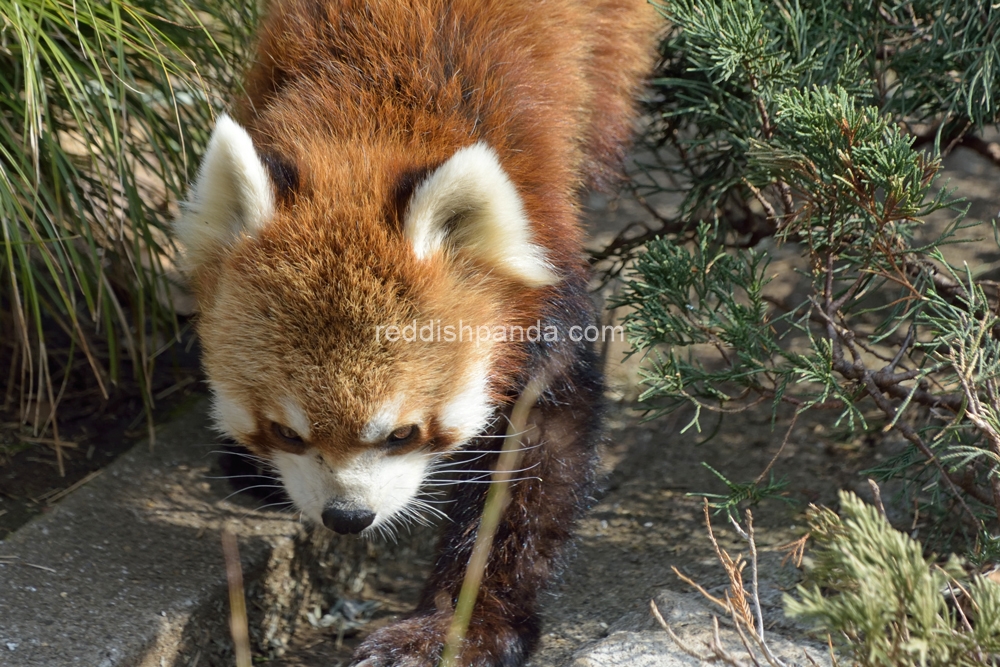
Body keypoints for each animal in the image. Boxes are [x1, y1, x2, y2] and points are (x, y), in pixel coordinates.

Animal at [176, 2, 660, 664]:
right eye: (285, 431)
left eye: (403, 433)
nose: (347, 516)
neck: (378, 103)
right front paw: (254, 468)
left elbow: (534, 454)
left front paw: (455, 628)